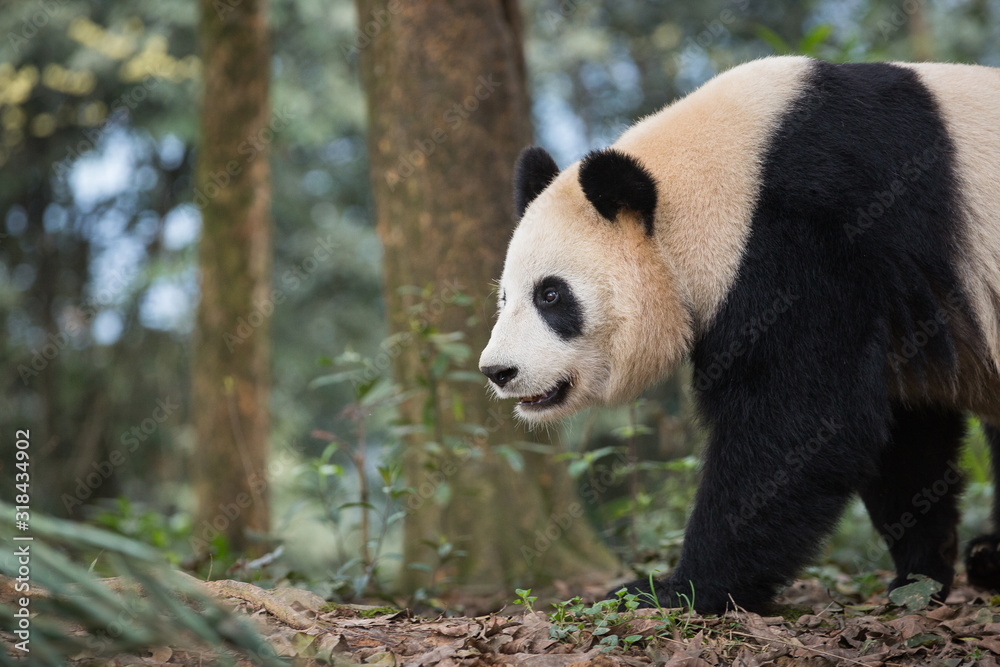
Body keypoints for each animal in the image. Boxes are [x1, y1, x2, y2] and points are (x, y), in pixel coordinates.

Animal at [479, 56, 1000, 613]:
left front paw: (676, 589)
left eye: (551, 296)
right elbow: (907, 433)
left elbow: (800, 420)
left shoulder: (812, 238)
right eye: (505, 297)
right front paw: (919, 579)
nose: (499, 371)